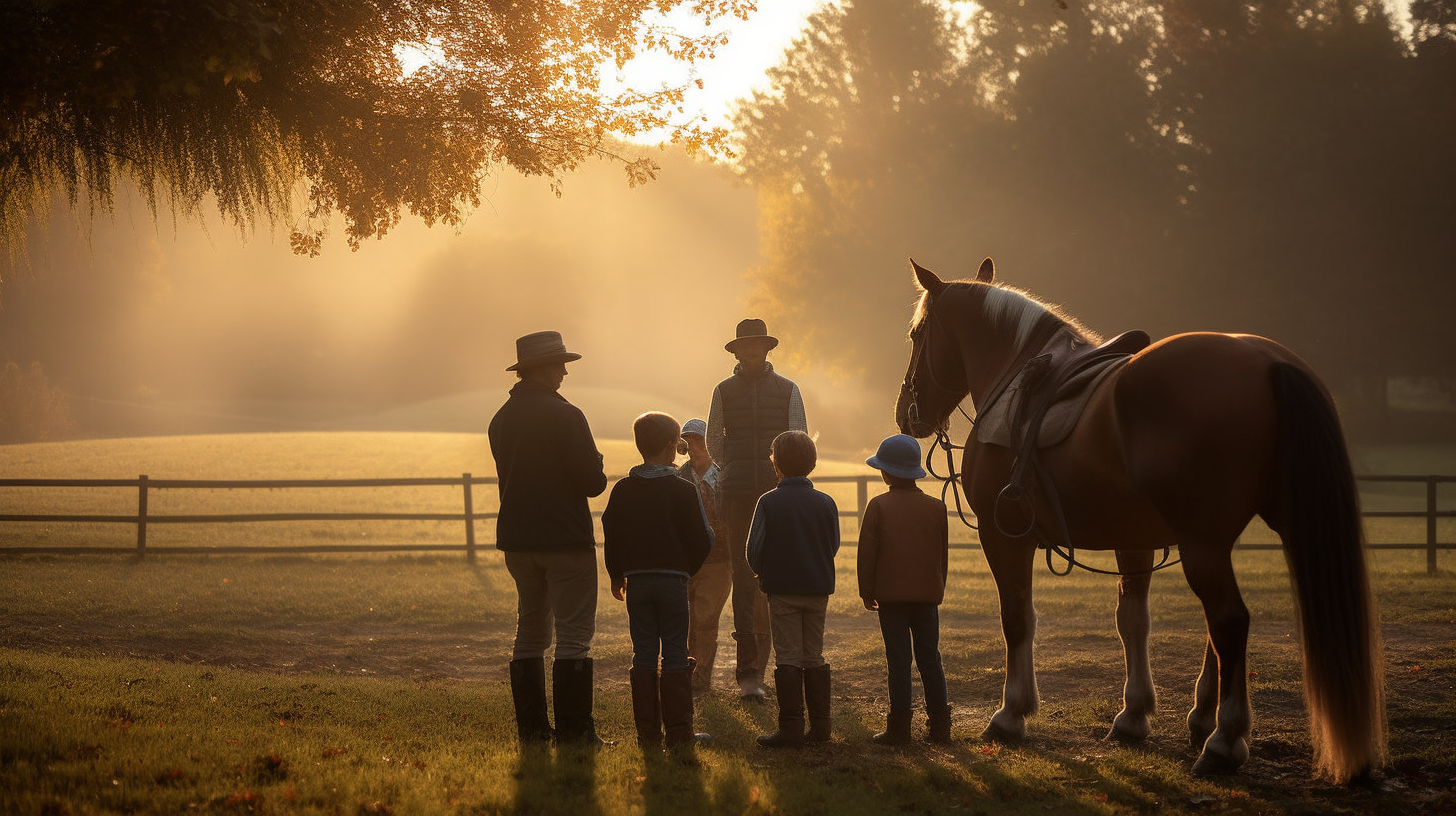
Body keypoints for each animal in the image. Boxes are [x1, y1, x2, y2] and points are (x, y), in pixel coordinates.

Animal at [896, 257, 1386, 781]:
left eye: (916, 334)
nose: (906, 414)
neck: (1014, 375)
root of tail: (1270, 360)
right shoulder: (1134, 540)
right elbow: (1132, 619)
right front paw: (1133, 715)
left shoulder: (1004, 536)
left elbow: (1017, 618)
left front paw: (1012, 713)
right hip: (1243, 535)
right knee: (1217, 629)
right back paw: (1205, 719)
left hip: (1202, 544)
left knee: (1229, 621)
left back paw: (1225, 740)